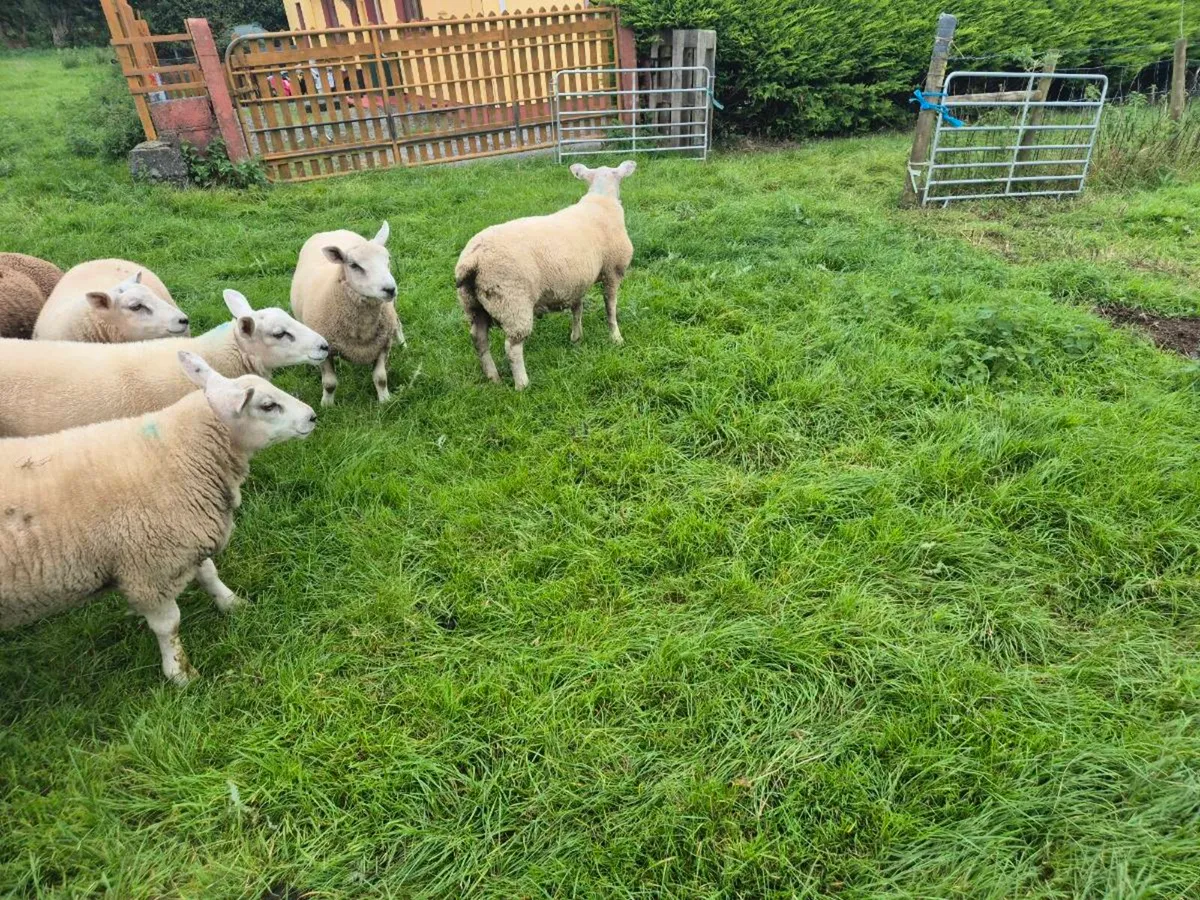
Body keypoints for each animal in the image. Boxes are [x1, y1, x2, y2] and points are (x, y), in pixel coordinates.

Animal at [0, 351, 318, 684]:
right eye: (268, 405)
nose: (312, 417)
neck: (181, 453)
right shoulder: (150, 568)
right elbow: (169, 625)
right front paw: (180, 674)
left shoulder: (184, 539)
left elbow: (209, 574)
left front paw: (233, 604)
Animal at [290, 221, 399, 406]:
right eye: (354, 265)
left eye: (388, 260)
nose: (390, 289)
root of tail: (331, 231)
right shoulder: (326, 350)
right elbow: (329, 383)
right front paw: (327, 405)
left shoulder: (383, 344)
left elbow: (380, 378)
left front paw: (385, 400)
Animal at [454, 161, 636, 390]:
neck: (602, 200)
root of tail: (473, 259)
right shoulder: (613, 270)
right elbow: (610, 309)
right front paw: (616, 337)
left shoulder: (576, 281)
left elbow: (577, 309)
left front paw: (576, 337)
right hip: (512, 301)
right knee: (512, 347)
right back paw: (522, 384)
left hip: (473, 305)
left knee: (479, 340)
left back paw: (493, 377)